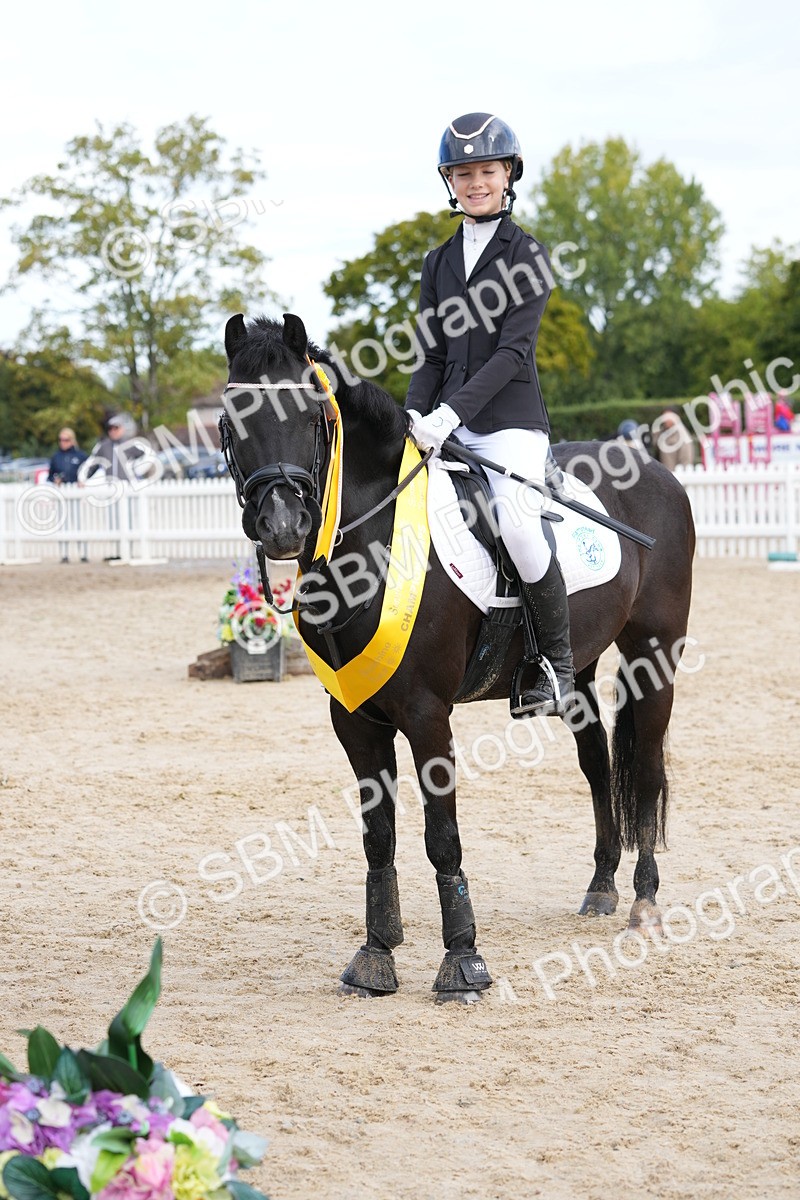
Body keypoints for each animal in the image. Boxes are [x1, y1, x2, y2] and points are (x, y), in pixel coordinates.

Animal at [220, 312, 696, 1003]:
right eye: (232, 421)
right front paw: (375, 957)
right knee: (598, 763)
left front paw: (462, 963)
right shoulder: (354, 718)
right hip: (576, 671)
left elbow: (441, 837)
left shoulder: (427, 714)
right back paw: (602, 886)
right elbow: (379, 837)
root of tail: (656, 469)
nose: (283, 526)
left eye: (313, 417)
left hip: (654, 656)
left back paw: (644, 904)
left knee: (649, 768)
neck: (371, 538)